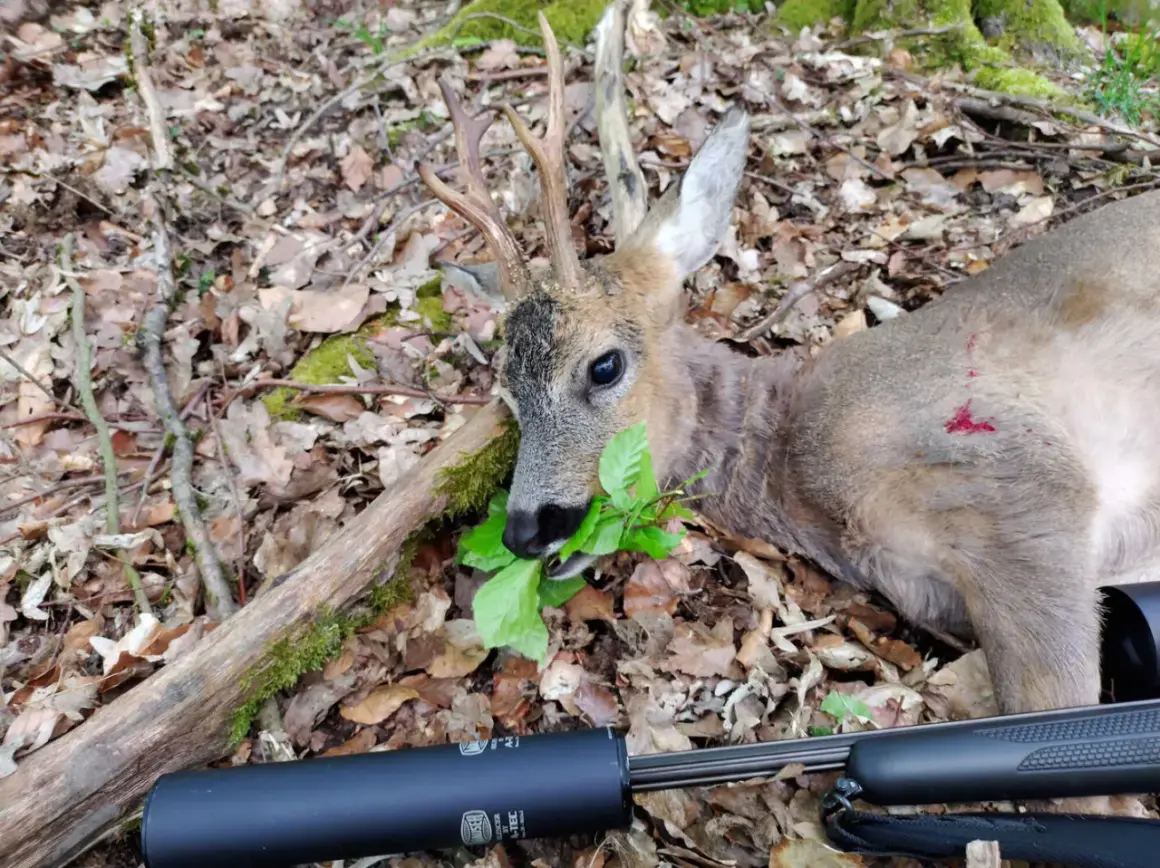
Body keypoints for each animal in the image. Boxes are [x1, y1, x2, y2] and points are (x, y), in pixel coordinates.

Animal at [418, 3, 1160, 814]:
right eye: (506, 393)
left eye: (604, 365)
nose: (525, 529)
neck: (801, 465)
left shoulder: (1023, 477)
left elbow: (1052, 723)